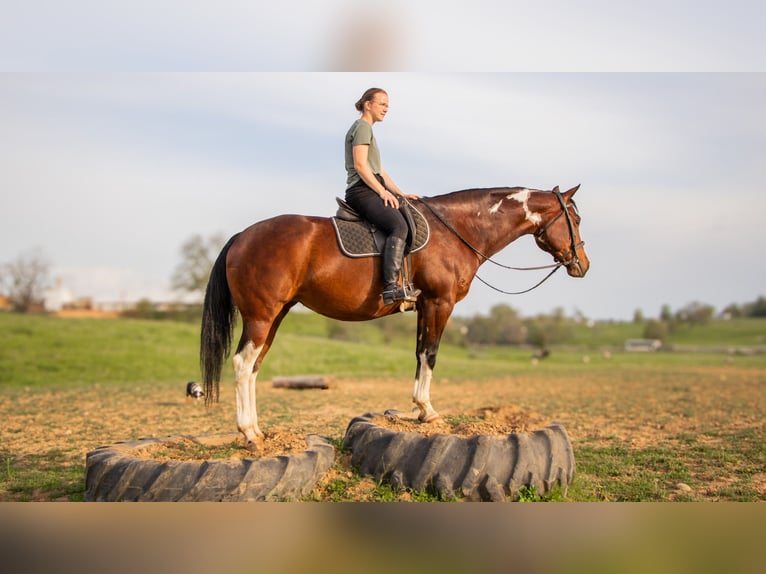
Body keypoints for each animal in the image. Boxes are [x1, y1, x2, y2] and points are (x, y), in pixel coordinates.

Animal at [201, 184, 592, 450]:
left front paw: (416, 410)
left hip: (274, 316)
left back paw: (256, 430)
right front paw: (428, 411)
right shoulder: (439, 303)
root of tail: (243, 236)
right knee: (241, 364)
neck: (458, 229)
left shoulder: (424, 307)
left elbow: (419, 354)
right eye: (575, 219)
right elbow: (430, 355)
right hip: (261, 316)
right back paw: (249, 434)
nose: (583, 265)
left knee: (253, 367)